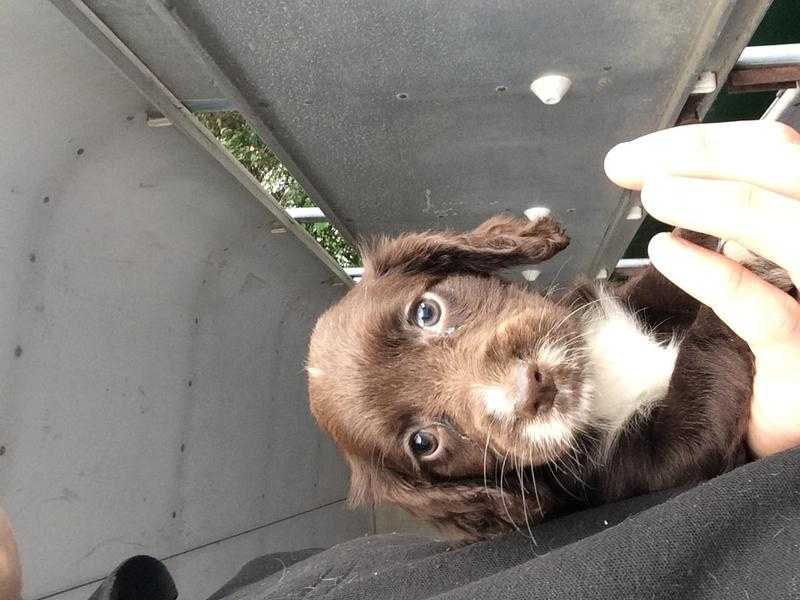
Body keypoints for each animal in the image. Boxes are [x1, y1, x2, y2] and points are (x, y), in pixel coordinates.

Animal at [310, 213, 772, 540]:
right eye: (423, 443)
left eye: (425, 312)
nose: (530, 390)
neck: (599, 380)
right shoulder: (658, 462)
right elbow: (702, 371)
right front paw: (744, 278)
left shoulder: (626, 302)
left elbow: (665, 275)